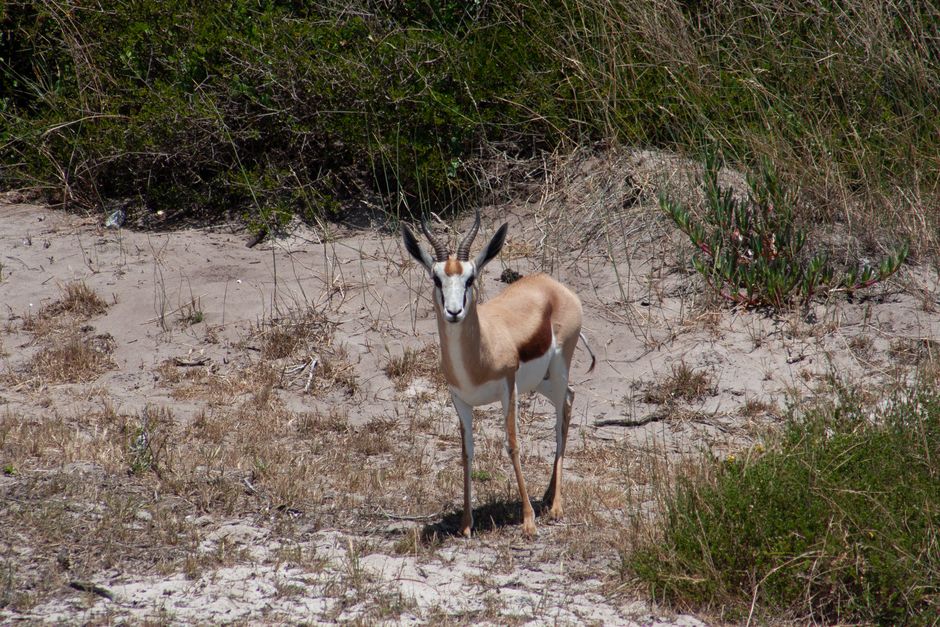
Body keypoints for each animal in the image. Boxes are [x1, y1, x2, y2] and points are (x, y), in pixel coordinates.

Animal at [402, 210, 595, 537]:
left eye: (470, 278)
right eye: (436, 278)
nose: (454, 312)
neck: (478, 356)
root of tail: (551, 284)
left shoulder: (508, 388)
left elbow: (513, 445)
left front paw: (528, 521)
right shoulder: (460, 400)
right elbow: (466, 452)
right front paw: (466, 524)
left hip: (558, 369)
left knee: (562, 415)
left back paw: (556, 505)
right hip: (542, 381)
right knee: (569, 398)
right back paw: (547, 495)